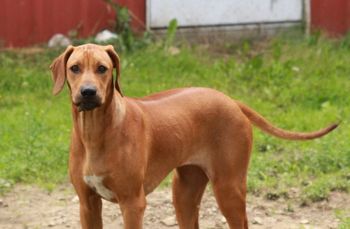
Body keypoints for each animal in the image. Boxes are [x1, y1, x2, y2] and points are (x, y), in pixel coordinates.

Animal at [50, 43, 338, 228]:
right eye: (75, 68)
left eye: (102, 68)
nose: (88, 92)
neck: (94, 131)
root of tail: (231, 100)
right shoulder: (87, 204)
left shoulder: (132, 203)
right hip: (185, 190)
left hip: (228, 187)